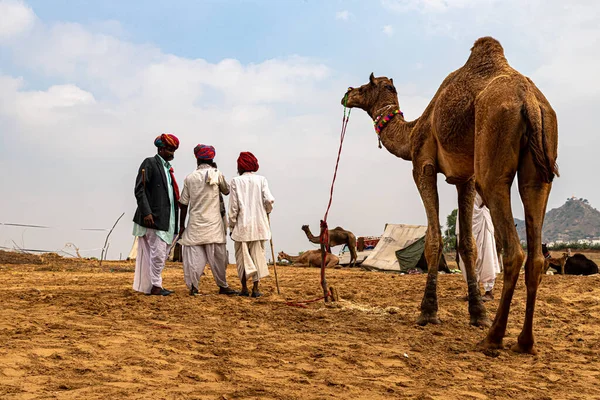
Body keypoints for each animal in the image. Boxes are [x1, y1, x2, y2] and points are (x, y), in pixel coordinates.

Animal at [344, 35, 560, 354]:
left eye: (363, 86)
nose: (346, 94)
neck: (412, 132)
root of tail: (530, 102)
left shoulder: (423, 164)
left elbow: (433, 239)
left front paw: (428, 312)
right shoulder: (465, 178)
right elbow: (467, 244)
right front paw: (477, 314)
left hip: (493, 162)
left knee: (514, 250)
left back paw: (494, 338)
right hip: (540, 169)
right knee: (535, 254)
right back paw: (524, 342)